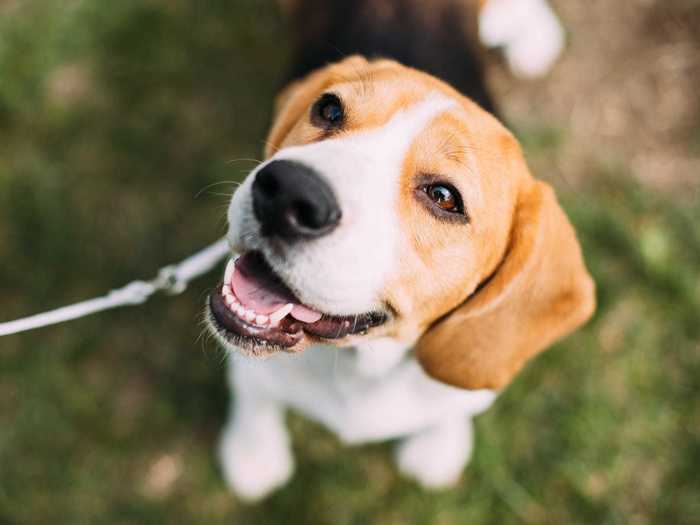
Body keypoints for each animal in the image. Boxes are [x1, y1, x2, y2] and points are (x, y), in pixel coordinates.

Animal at [204, 0, 592, 500]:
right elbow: (254, 392)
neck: (360, 365)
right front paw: (253, 452)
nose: (286, 192)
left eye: (444, 197)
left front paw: (439, 447)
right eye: (329, 109)